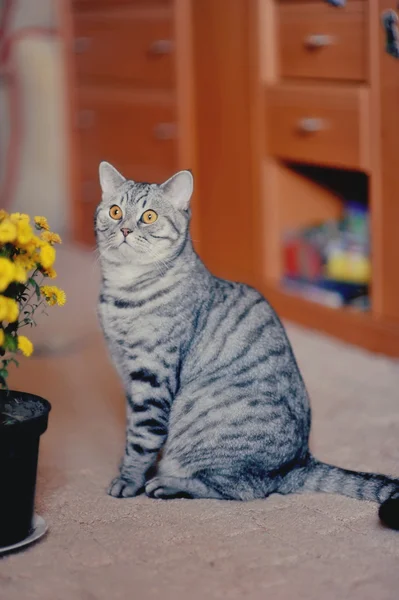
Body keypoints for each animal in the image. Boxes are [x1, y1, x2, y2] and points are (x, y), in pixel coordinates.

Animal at [96, 161, 399, 528]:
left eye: (149, 216)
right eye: (115, 211)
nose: (125, 229)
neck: (123, 291)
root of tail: (299, 462)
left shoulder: (152, 377)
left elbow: (142, 439)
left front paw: (129, 479)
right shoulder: (128, 376)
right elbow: (137, 431)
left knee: (242, 489)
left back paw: (168, 484)